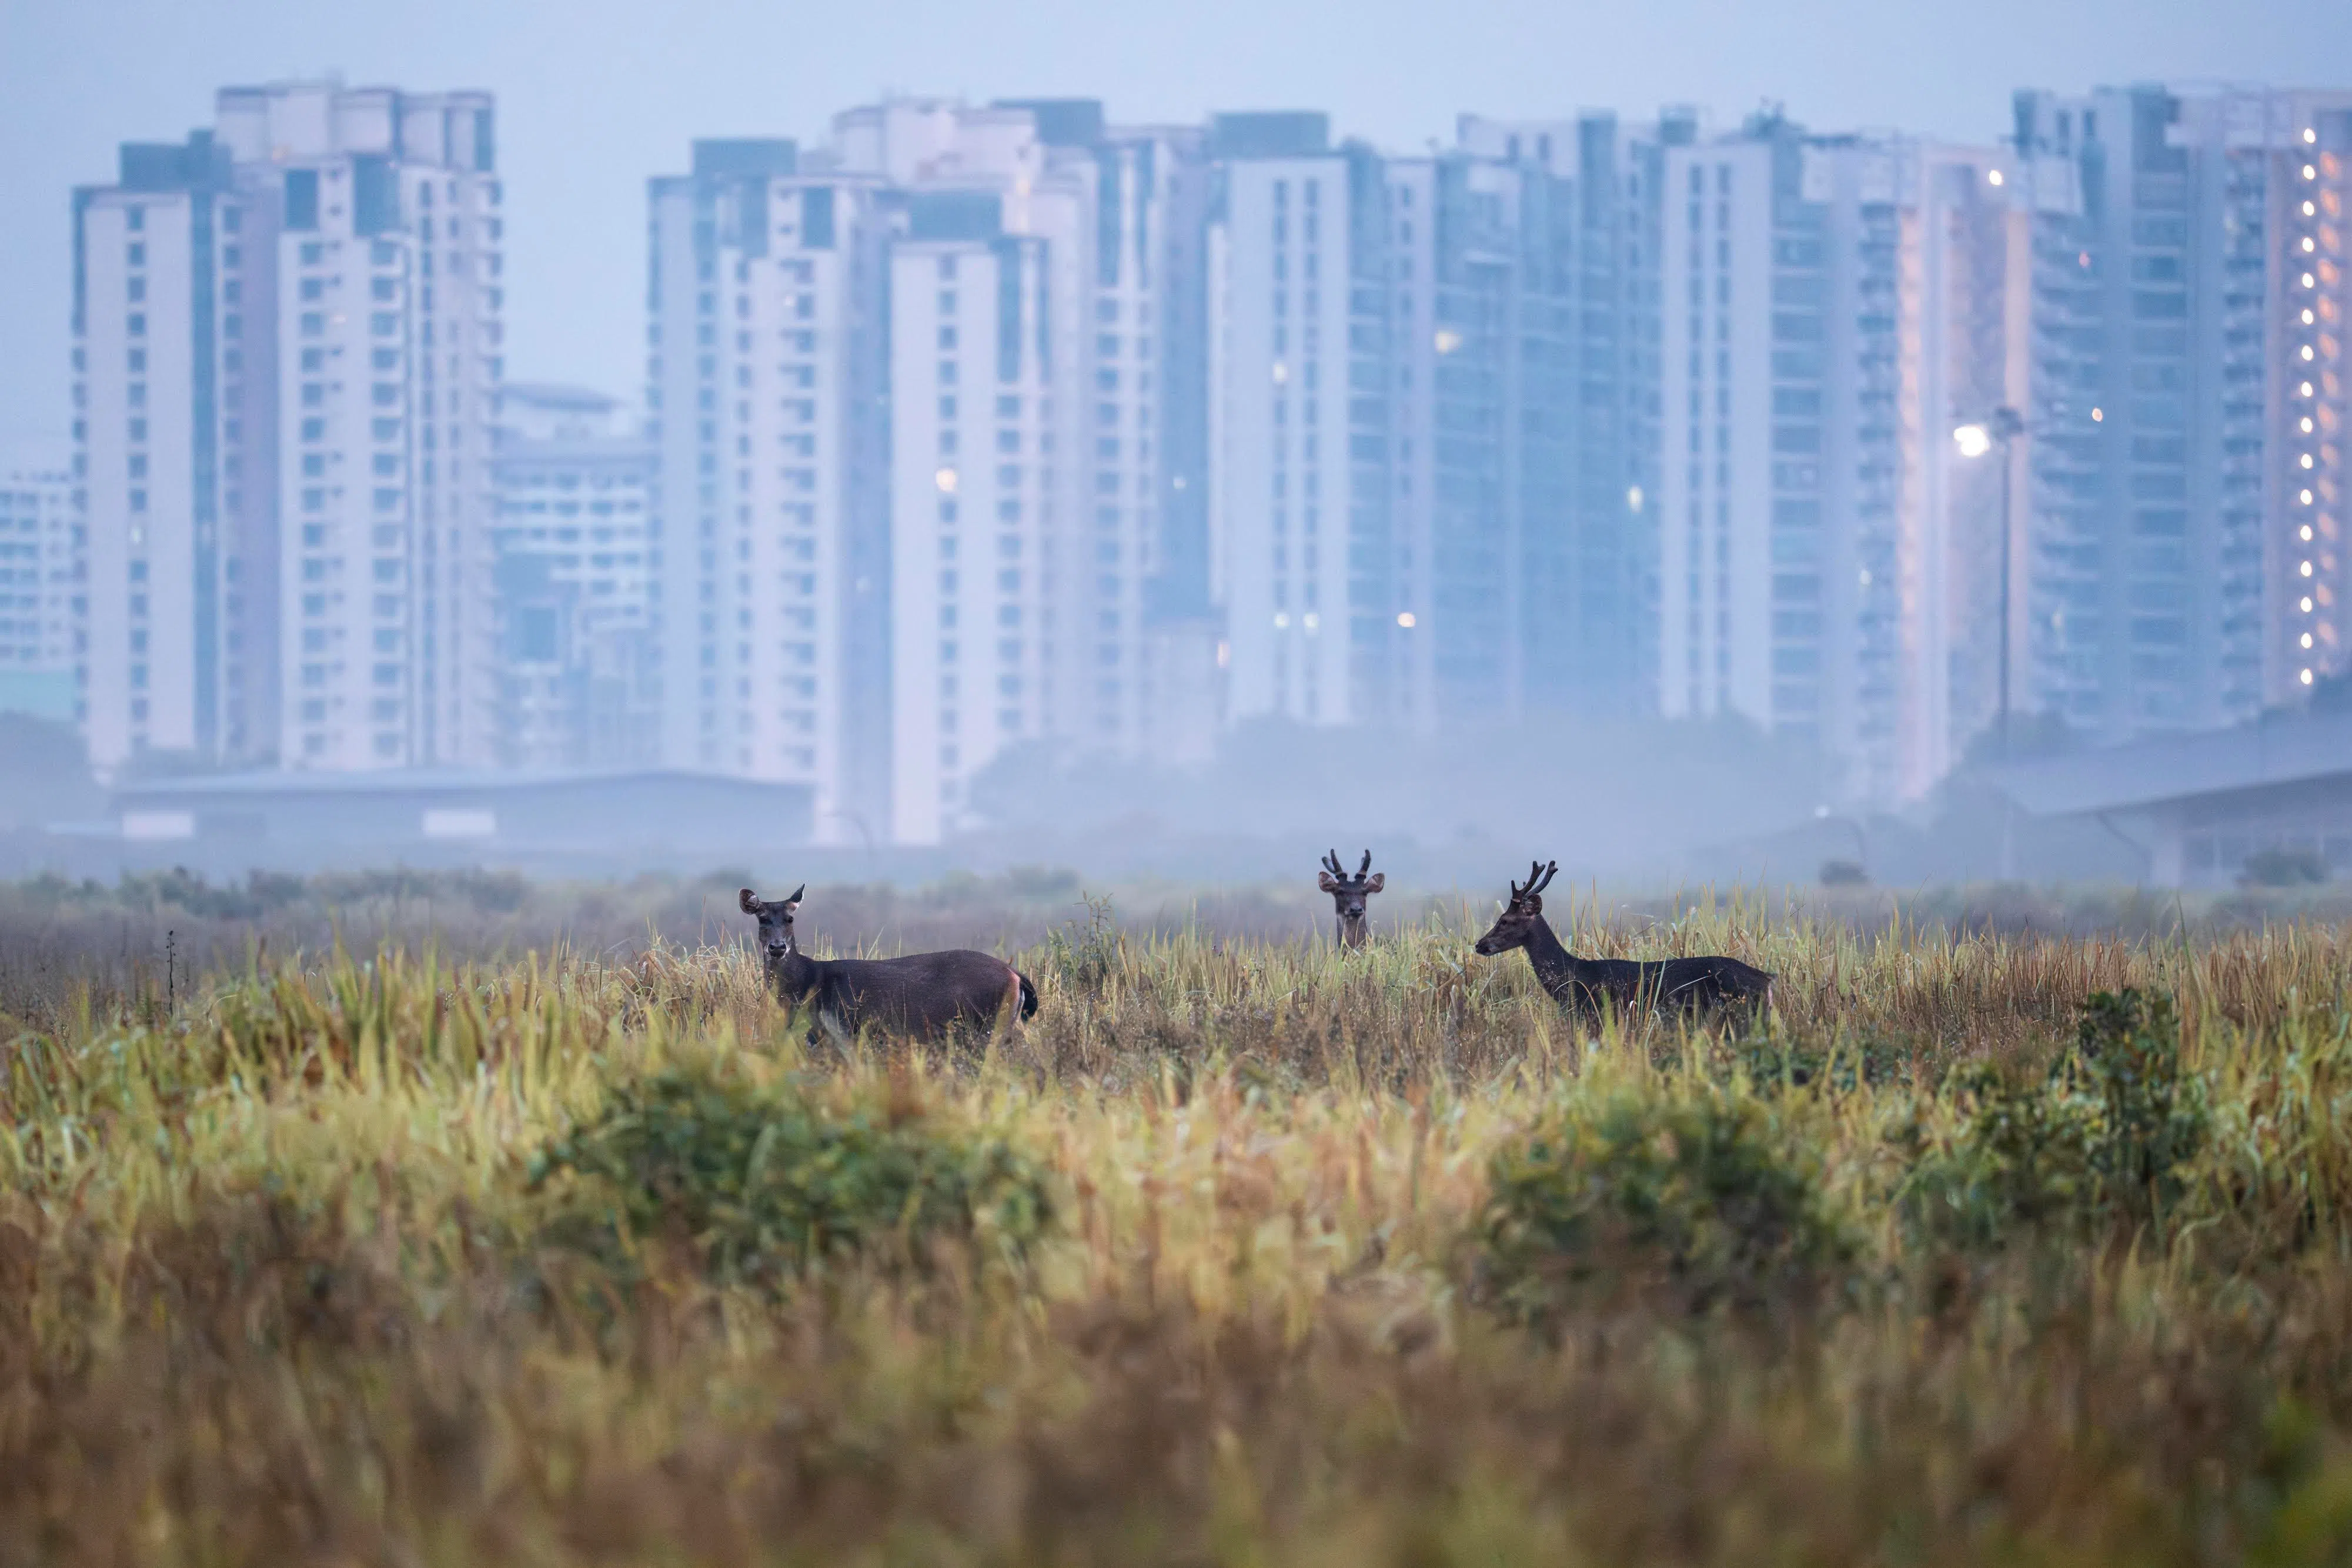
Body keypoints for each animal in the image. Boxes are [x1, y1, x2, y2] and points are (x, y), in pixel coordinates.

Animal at [739, 886, 1038, 1051]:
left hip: (988, 1024)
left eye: (790, 918)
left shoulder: (841, 1028)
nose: (777, 947)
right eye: (762, 919)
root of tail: (1016, 976)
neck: (806, 984)